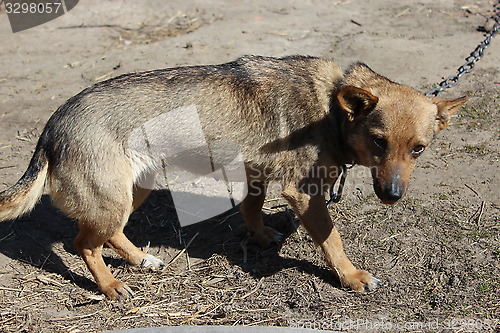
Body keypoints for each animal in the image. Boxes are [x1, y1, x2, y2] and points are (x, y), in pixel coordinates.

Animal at [0, 55, 464, 298]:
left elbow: (252, 210)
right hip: (113, 201)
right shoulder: (304, 194)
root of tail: (53, 124)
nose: (392, 194)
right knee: (83, 244)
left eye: (418, 149)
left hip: (135, 192)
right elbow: (331, 240)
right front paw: (351, 277)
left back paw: (140, 260)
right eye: (379, 142)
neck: (332, 106)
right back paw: (111, 286)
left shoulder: (256, 174)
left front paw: (258, 238)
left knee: (108, 236)